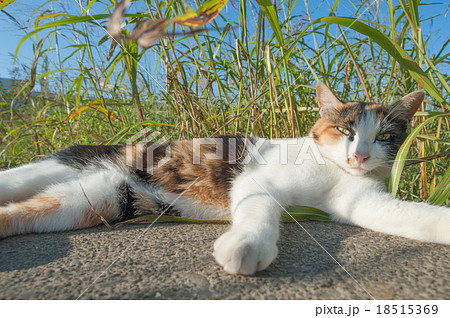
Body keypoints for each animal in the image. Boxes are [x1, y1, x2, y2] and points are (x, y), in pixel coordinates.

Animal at [0, 82, 450, 276]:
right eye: (345, 130)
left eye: (385, 137)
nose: (359, 155)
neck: (331, 170)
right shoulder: (259, 180)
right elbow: (257, 209)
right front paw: (247, 245)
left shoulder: (360, 201)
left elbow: (407, 215)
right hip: (66, 167)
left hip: (97, 199)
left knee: (28, 211)